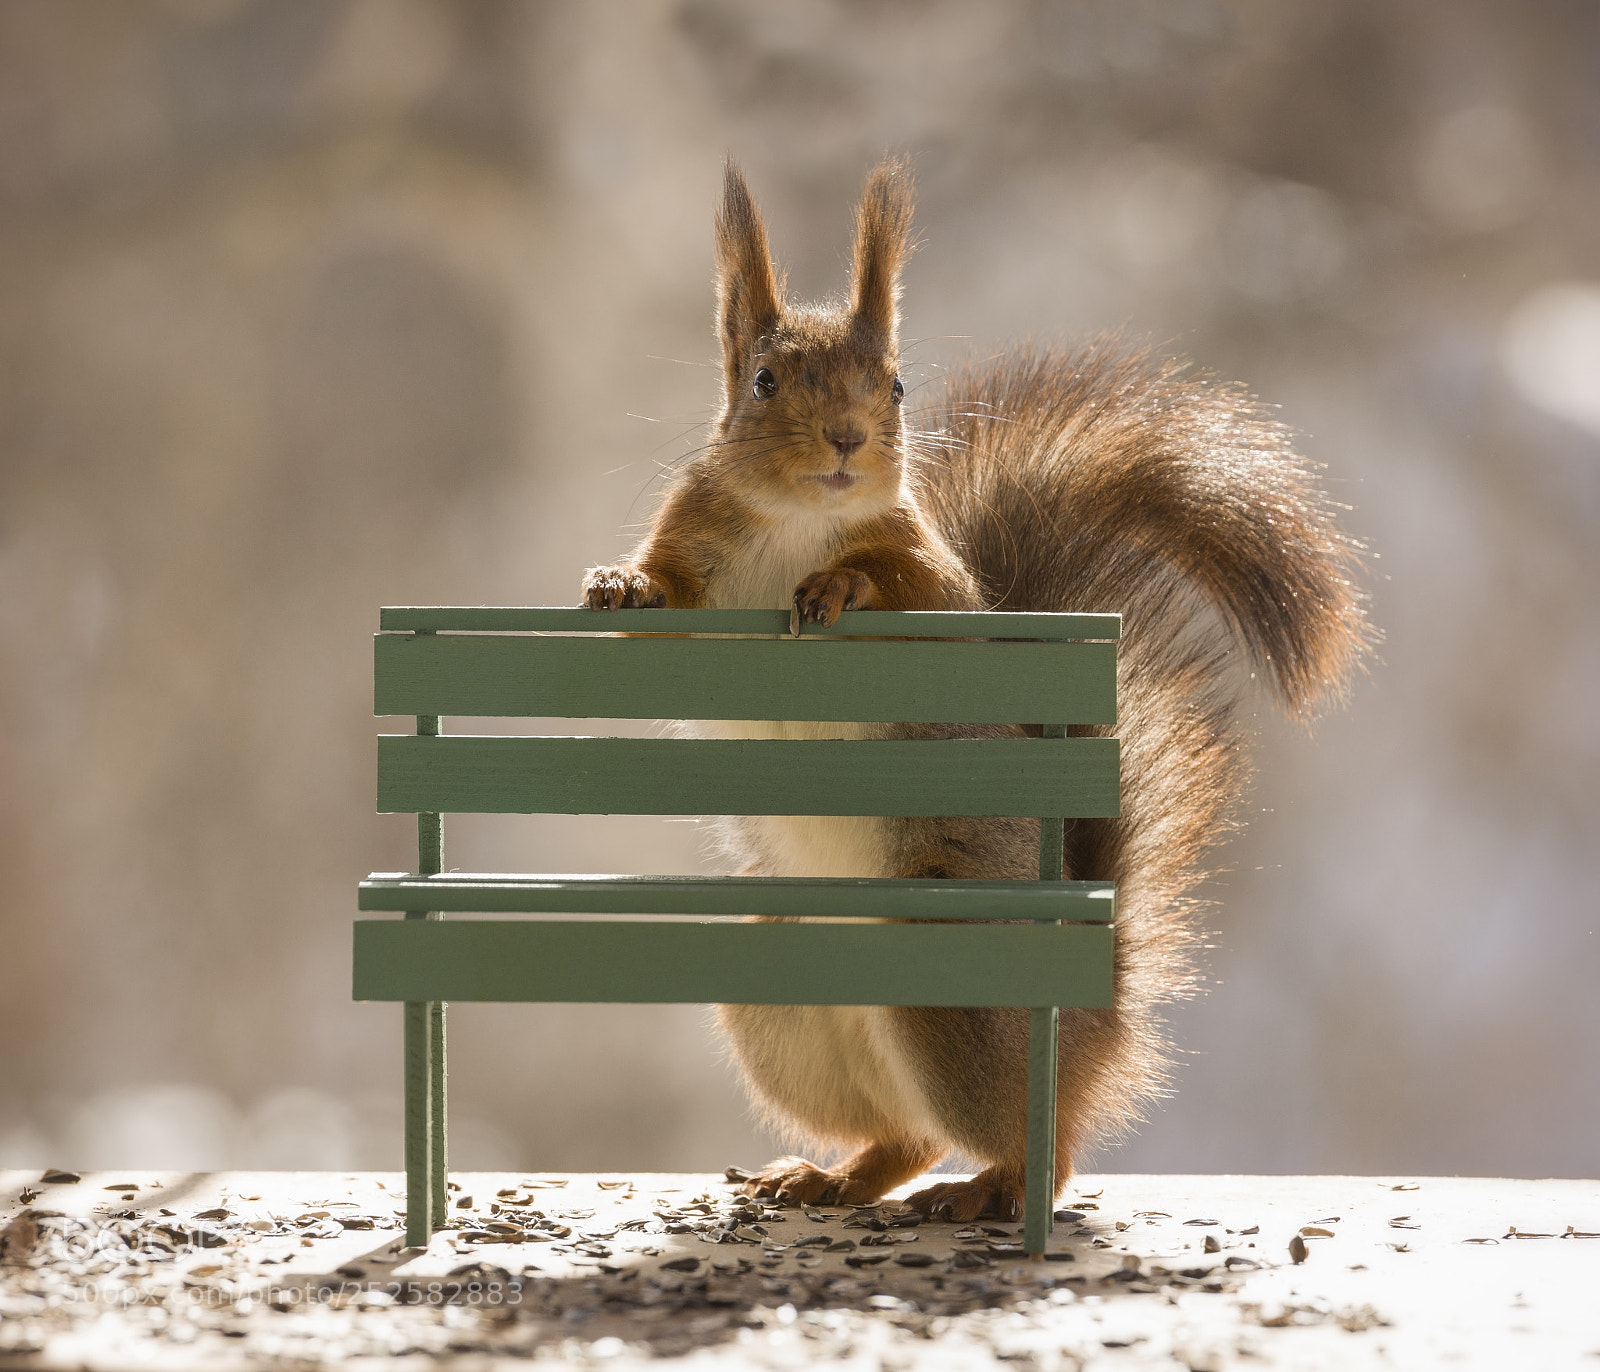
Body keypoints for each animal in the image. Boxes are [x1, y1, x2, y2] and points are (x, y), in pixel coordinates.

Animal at [581, 159, 1370, 1222]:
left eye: (897, 385)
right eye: (763, 381)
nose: (846, 439)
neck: (797, 522)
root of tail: (1096, 1017)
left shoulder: (935, 578)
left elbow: (904, 589)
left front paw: (842, 586)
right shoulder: (700, 554)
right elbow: (660, 608)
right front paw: (621, 584)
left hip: (948, 987)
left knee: (1044, 1144)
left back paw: (992, 1186)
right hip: (777, 980)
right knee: (906, 1135)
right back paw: (831, 1176)